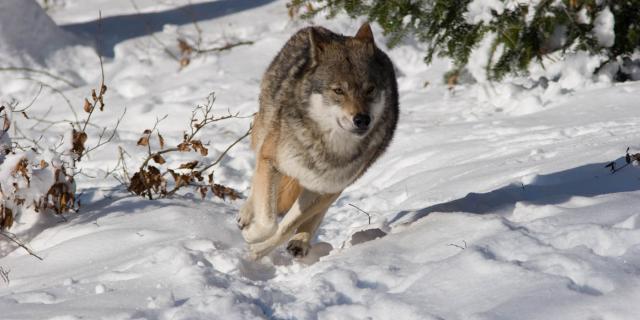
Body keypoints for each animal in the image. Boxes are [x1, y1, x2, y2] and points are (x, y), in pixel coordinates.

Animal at [239, 22, 398, 258]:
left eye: (370, 89)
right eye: (338, 91)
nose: (362, 119)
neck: (325, 145)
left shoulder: (325, 188)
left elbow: (284, 228)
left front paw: (257, 250)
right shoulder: (270, 161)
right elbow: (268, 221)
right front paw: (252, 235)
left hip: (332, 189)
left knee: (312, 216)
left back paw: (301, 242)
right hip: (262, 132)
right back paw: (246, 215)